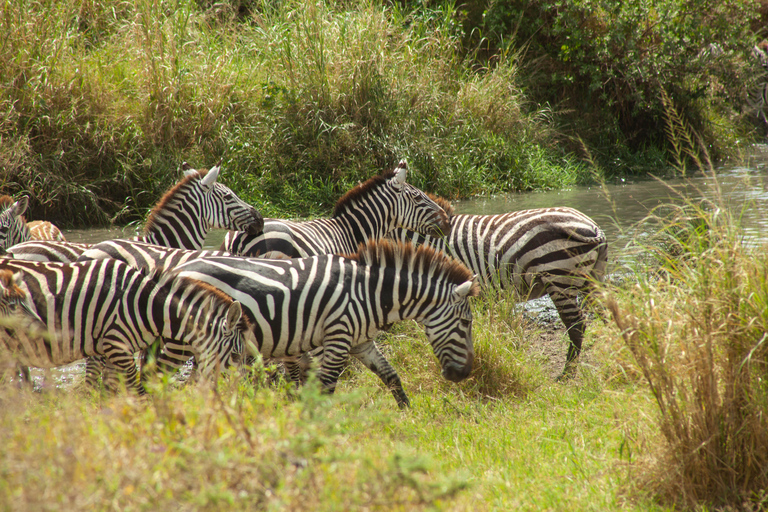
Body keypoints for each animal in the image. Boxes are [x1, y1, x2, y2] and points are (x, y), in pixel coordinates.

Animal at [390, 194, 608, 378]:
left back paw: (567, 374)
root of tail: (593, 226)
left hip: (559, 276)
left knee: (576, 325)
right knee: (606, 314)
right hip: (592, 278)